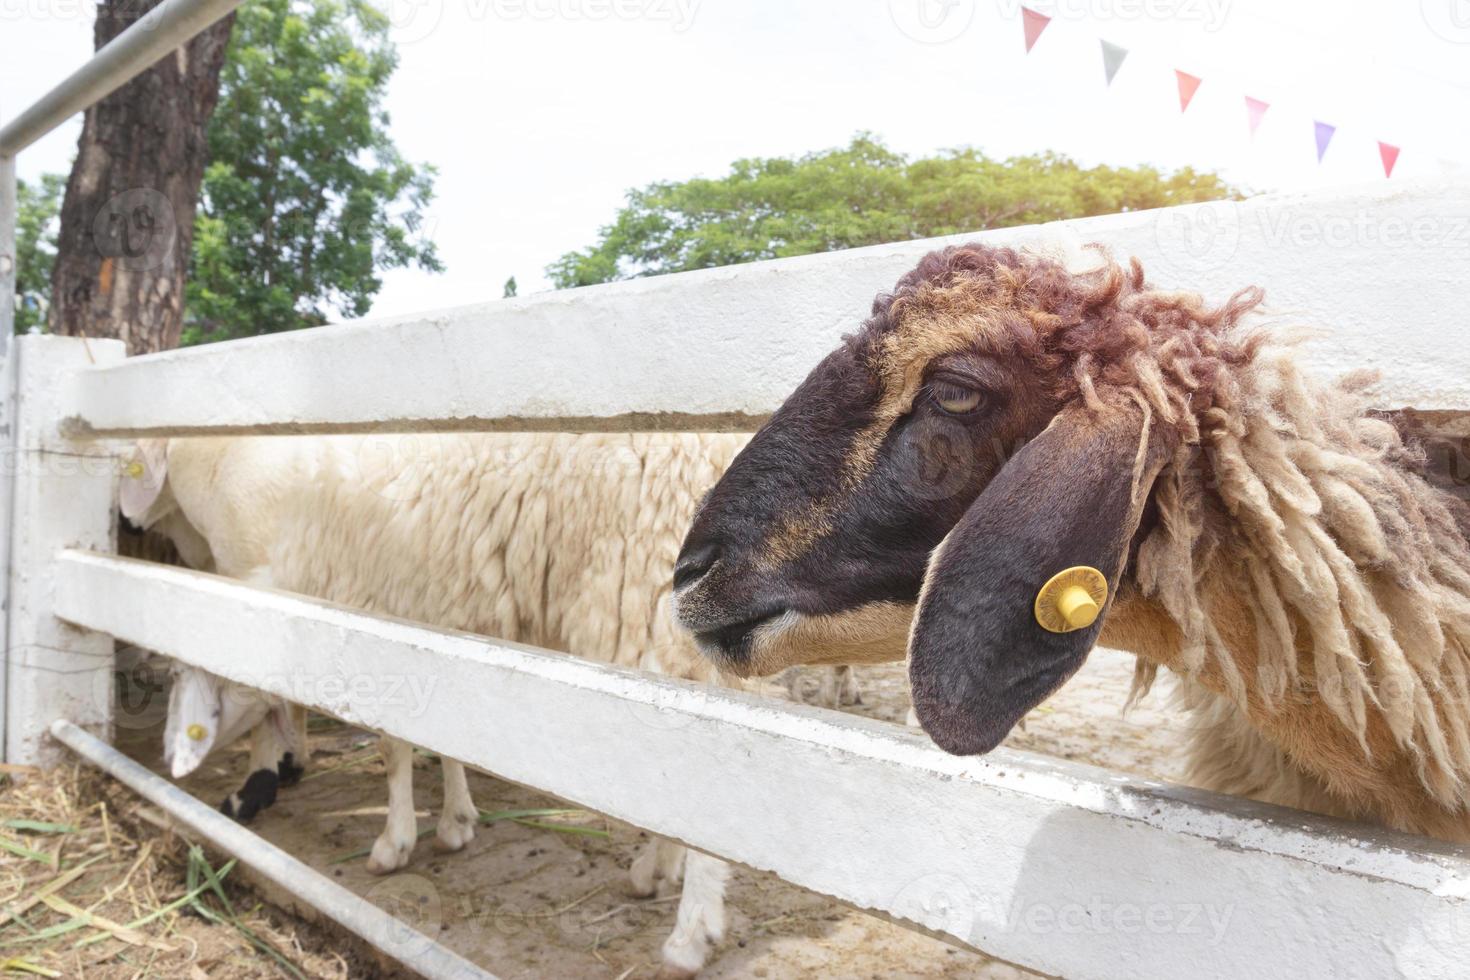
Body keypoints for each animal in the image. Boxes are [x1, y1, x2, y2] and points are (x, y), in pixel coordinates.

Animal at [120, 431, 752, 980]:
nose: (125, 522)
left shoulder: (359, 620)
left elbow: (390, 747)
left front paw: (391, 841)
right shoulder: (434, 620)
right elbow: (446, 741)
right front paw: (455, 822)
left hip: (656, 624)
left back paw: (689, 936)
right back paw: (655, 872)